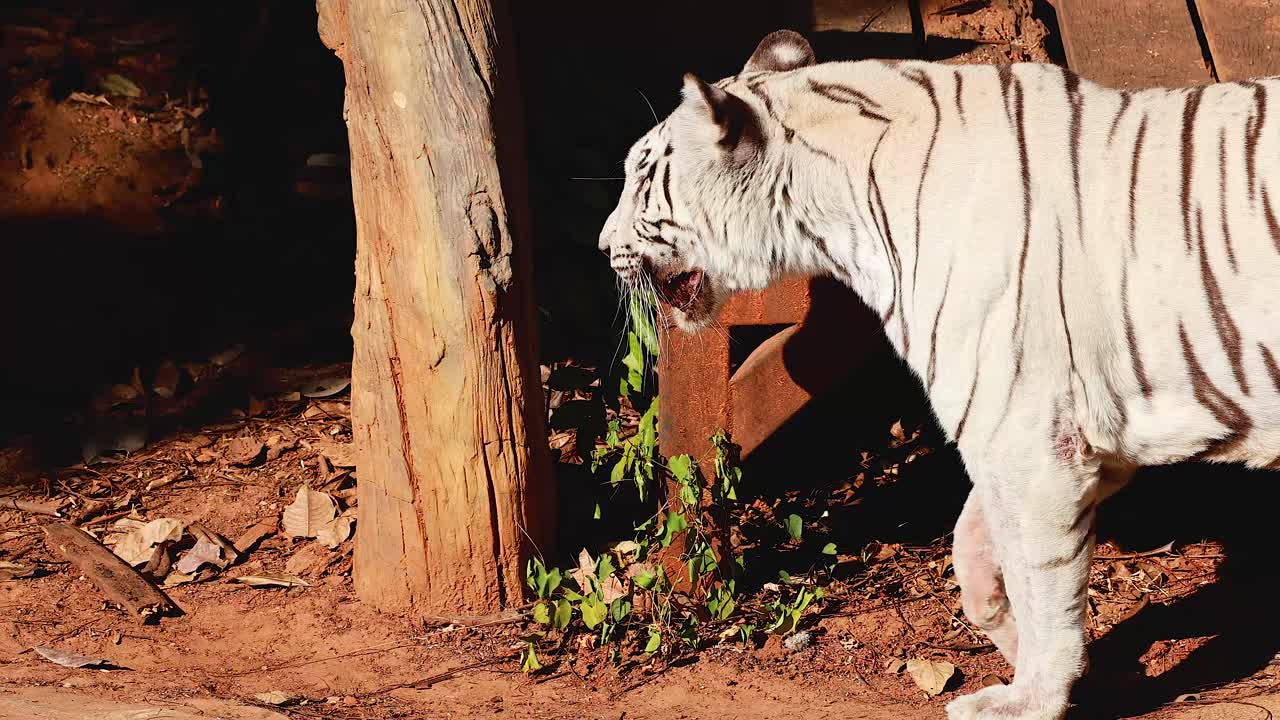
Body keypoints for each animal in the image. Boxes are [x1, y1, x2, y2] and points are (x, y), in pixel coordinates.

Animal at [596, 28, 1280, 720]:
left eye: (642, 176)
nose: (602, 246)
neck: (843, 217)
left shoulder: (1031, 444)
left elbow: (1040, 583)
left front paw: (1030, 697)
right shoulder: (1033, 438)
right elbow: (972, 548)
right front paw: (1023, 645)